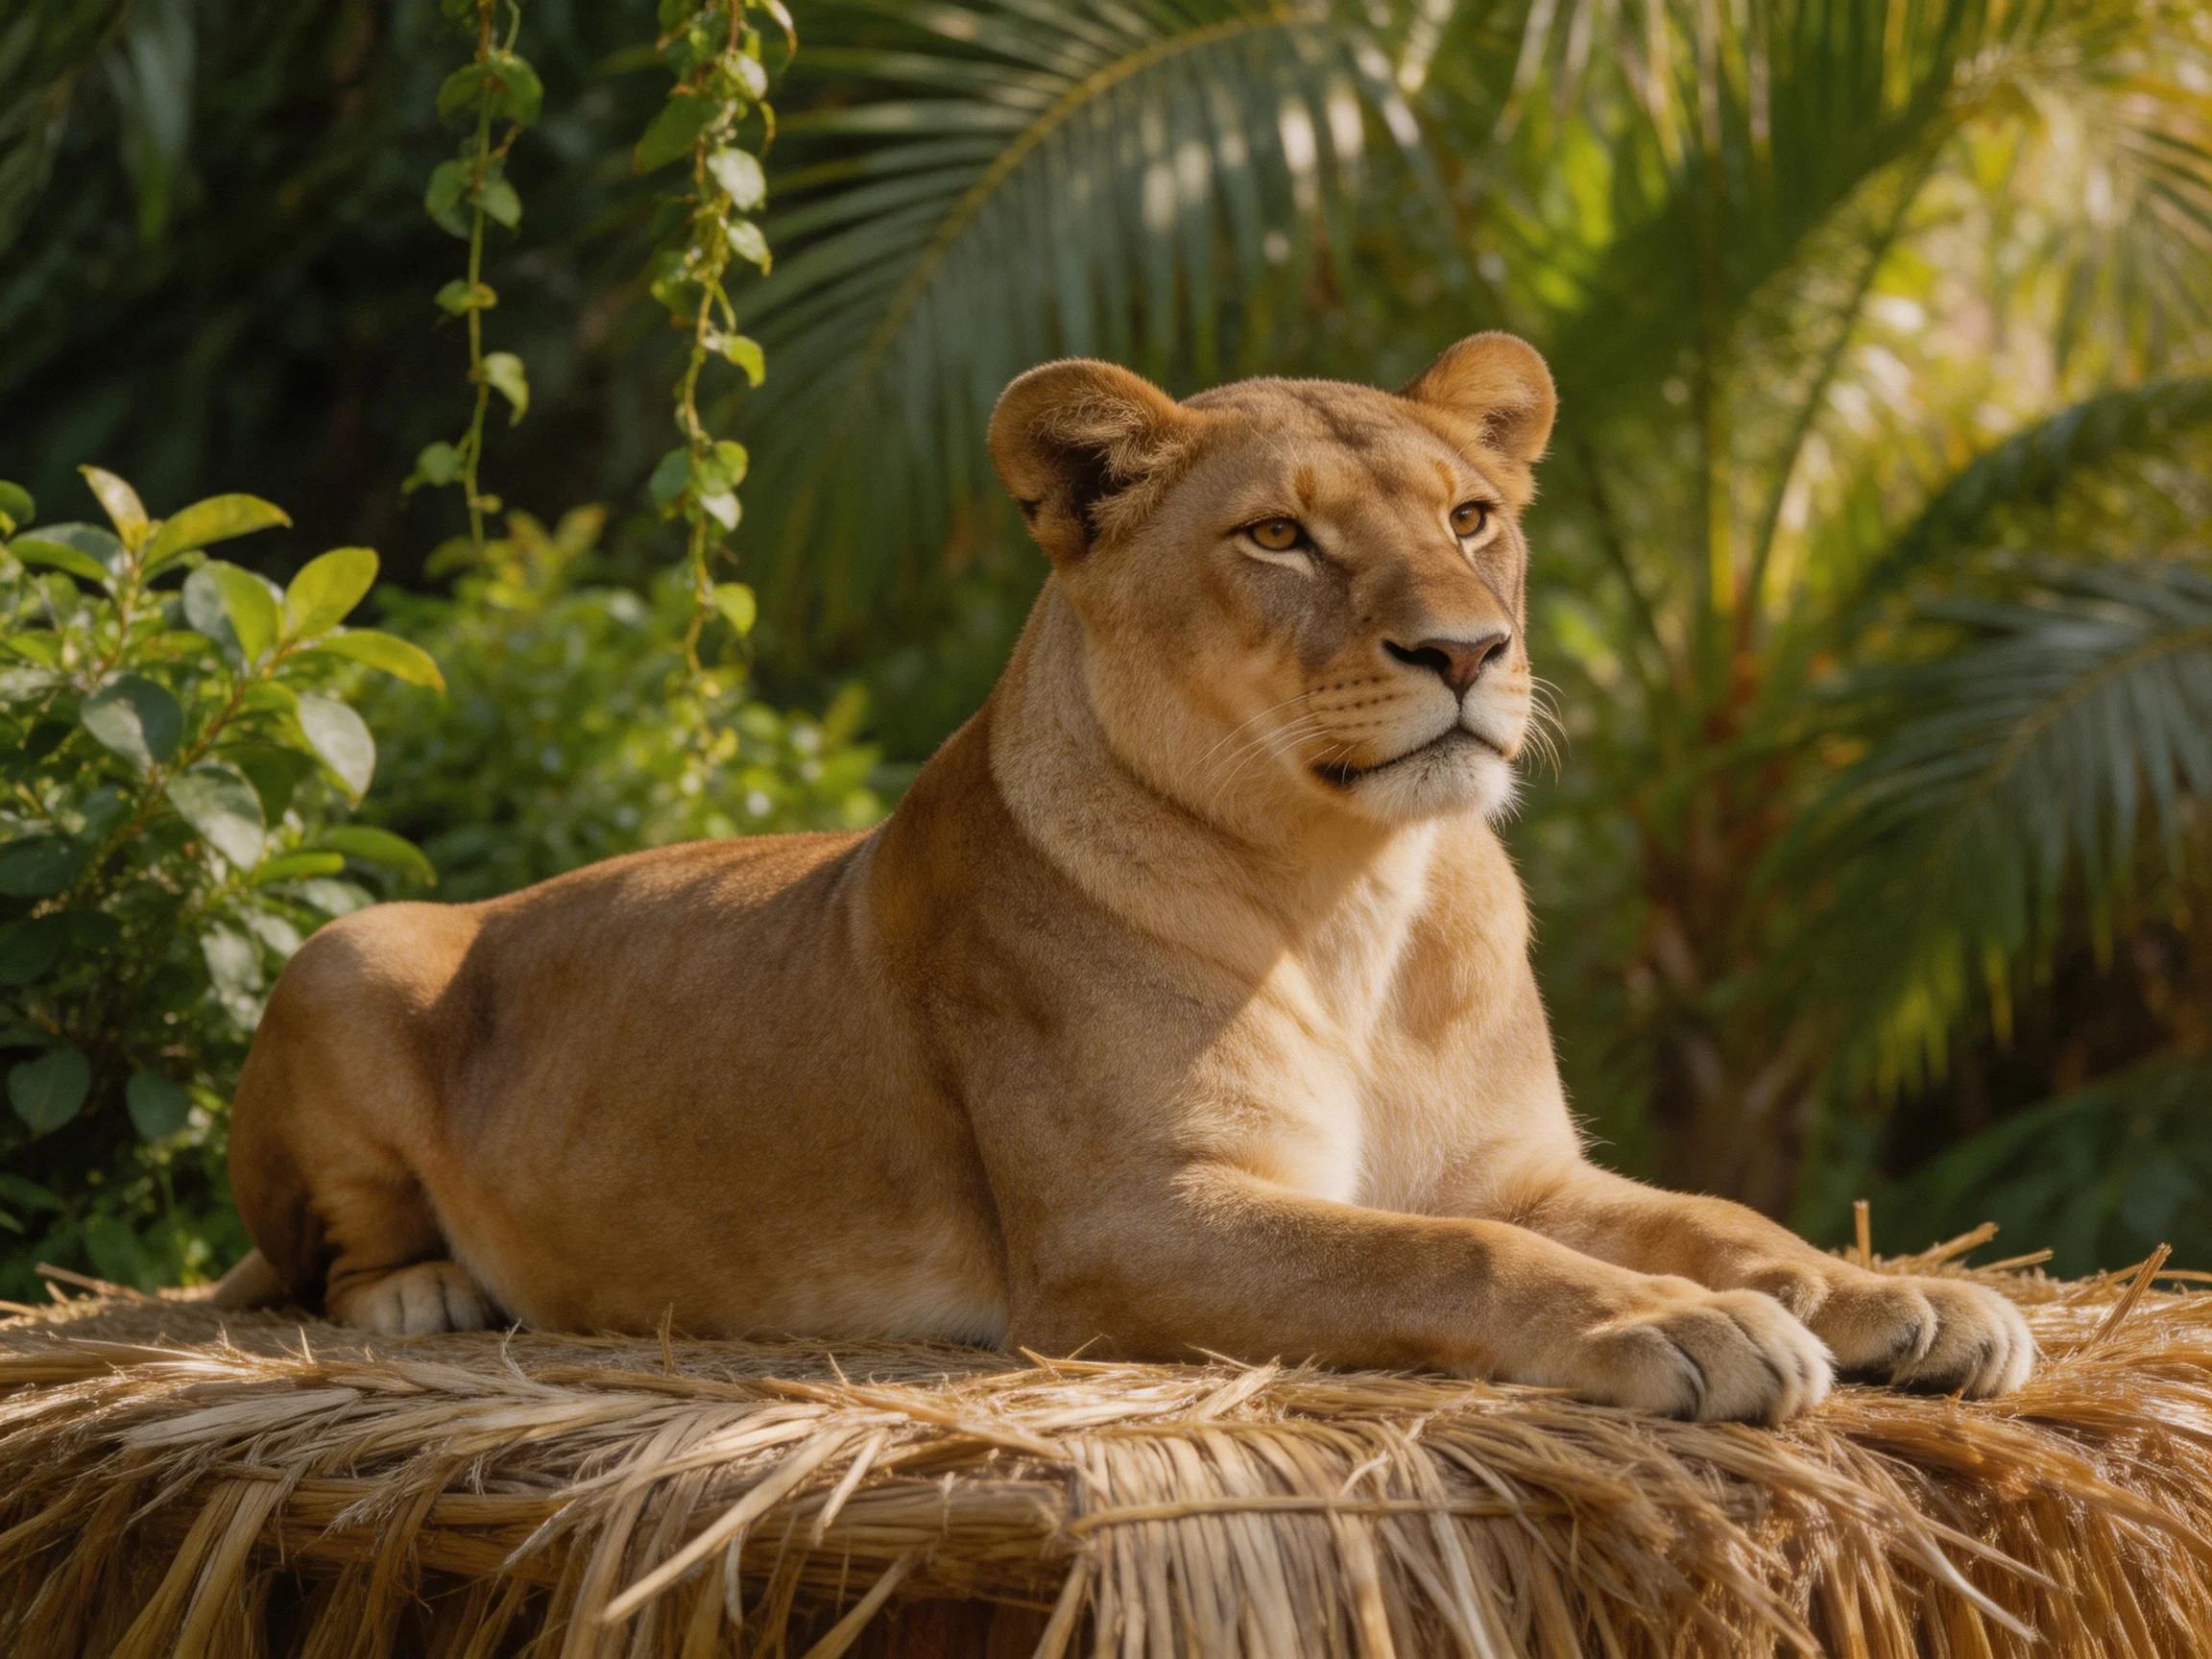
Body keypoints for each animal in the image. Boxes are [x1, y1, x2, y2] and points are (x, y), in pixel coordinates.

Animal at [218, 334, 2032, 1422]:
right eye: (1279, 537)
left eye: (1469, 515)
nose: (1467, 652)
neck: (1355, 895)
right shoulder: (1127, 1227)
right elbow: (1442, 1258)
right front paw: (1682, 1328)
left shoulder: (1517, 1164)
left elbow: (1721, 1217)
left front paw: (1900, 1297)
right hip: (346, 943)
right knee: (316, 1260)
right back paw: (428, 1296)